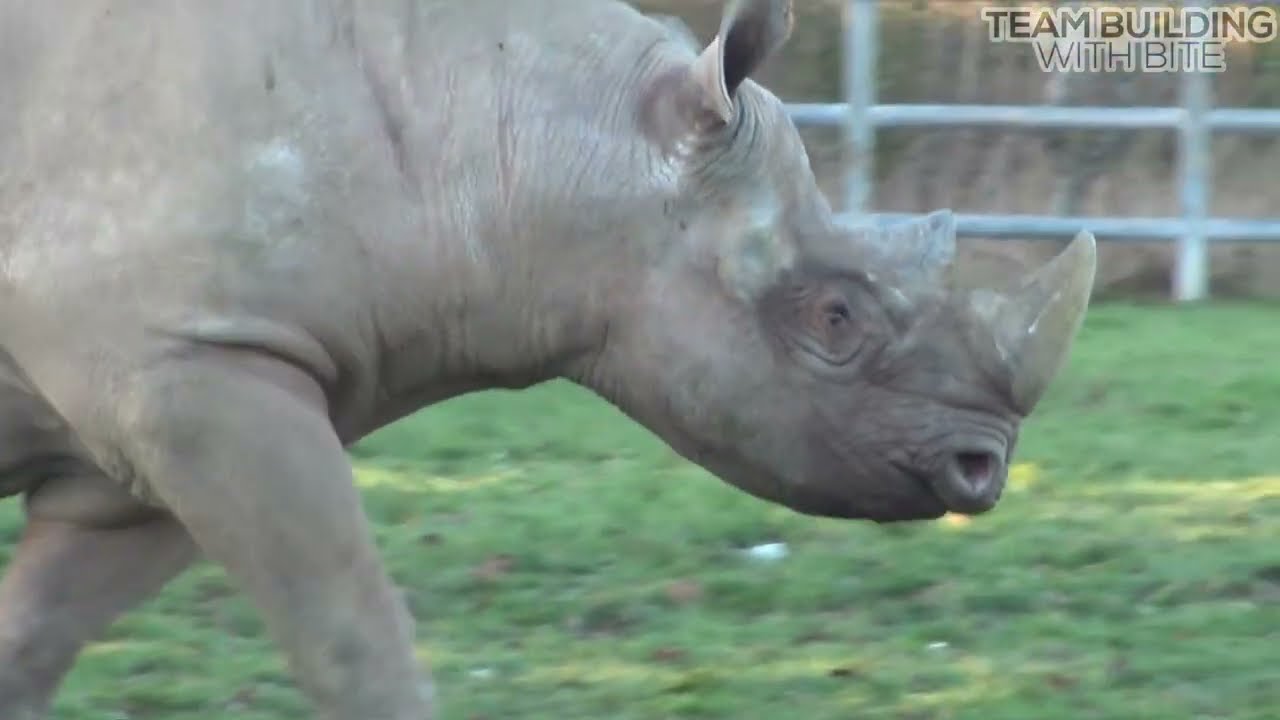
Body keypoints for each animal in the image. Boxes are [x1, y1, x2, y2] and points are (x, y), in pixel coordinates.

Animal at [0, 0, 1096, 717]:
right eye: (833, 318)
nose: (983, 467)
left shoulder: (150, 416)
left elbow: (31, 641)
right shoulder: (190, 370)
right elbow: (354, 637)